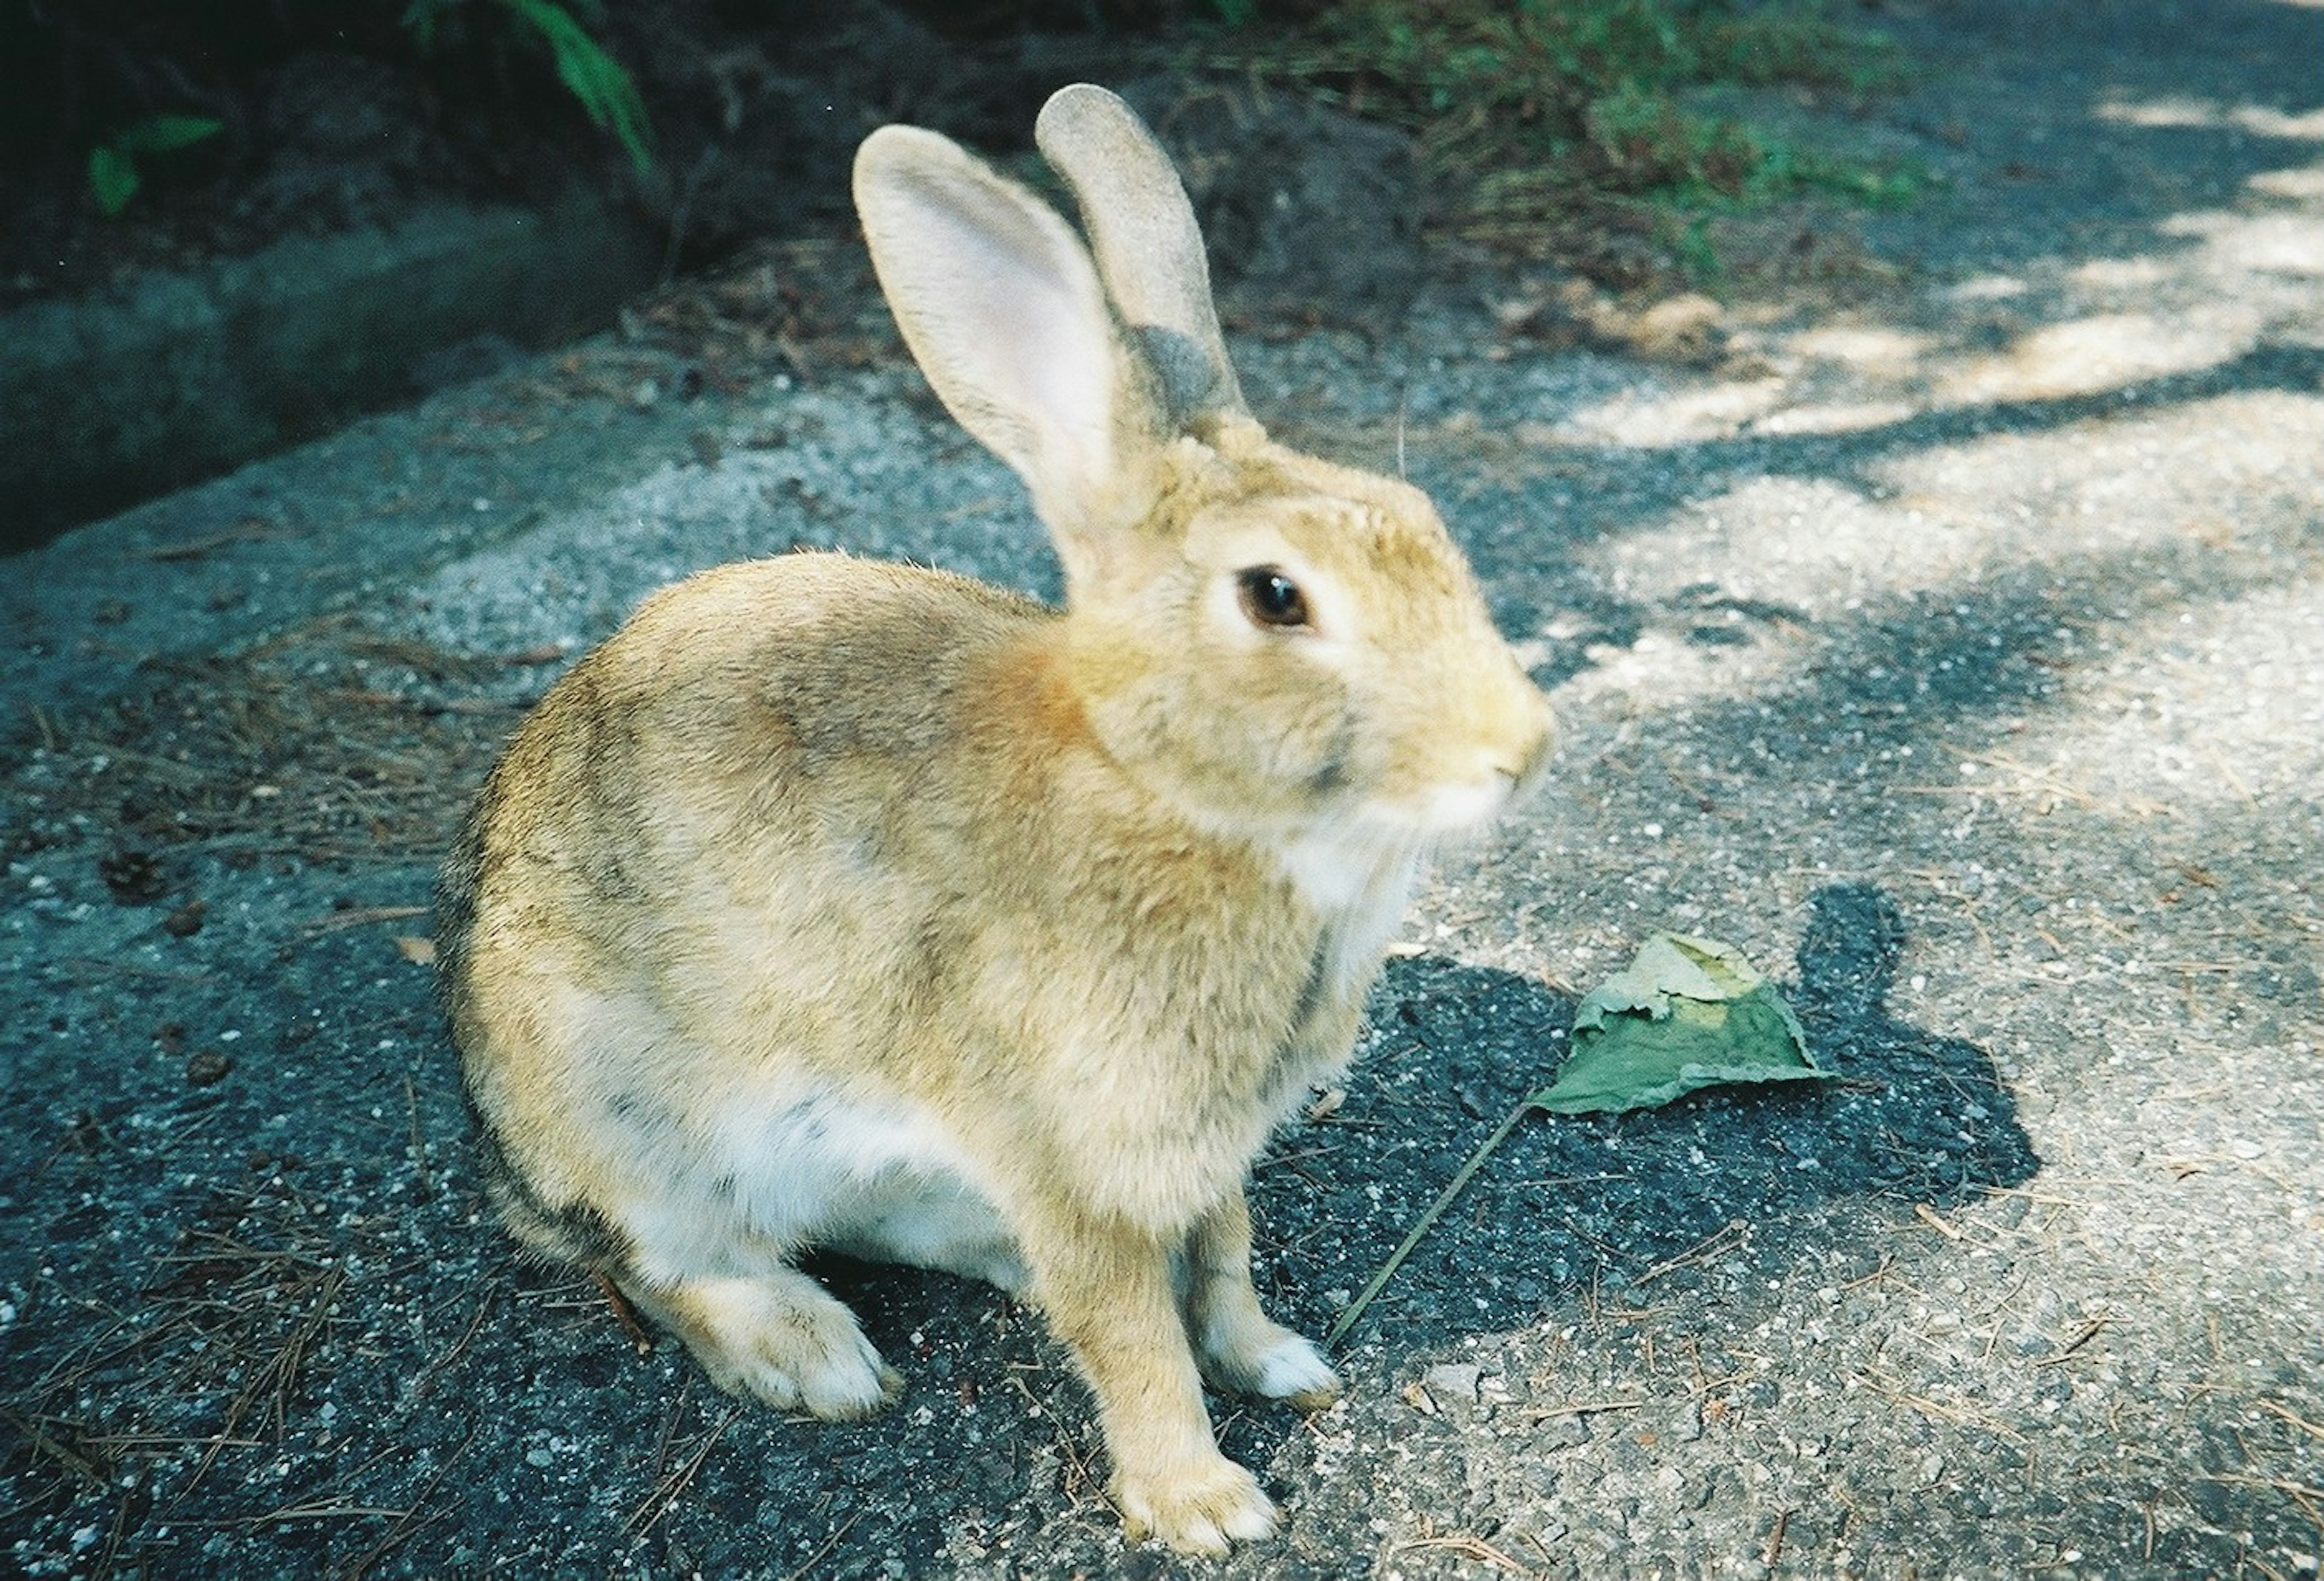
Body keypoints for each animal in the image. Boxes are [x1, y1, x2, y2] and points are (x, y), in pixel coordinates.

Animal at [439, 80, 1561, 1553]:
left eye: (1424, 524)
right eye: (1275, 597)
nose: (1522, 747)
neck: (1167, 789)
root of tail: (498, 1143)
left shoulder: (1200, 1154)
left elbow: (1226, 1257)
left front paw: (1279, 1363)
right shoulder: (1070, 1153)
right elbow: (1131, 1333)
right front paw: (1204, 1504)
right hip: (629, 1126)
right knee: (671, 1264)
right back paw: (812, 1356)